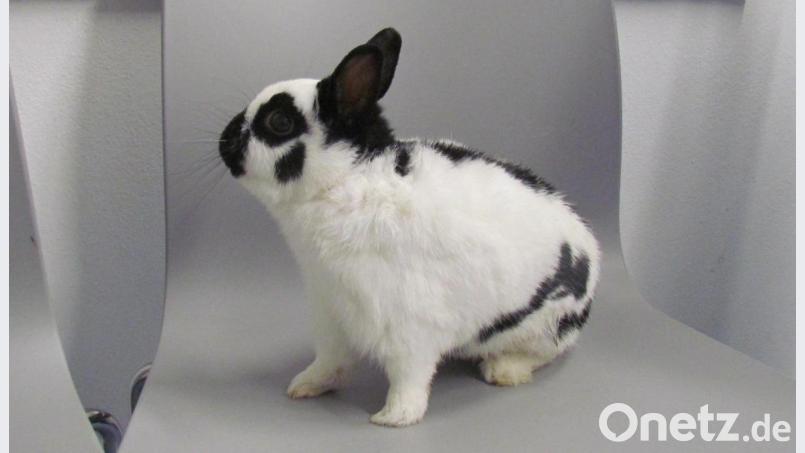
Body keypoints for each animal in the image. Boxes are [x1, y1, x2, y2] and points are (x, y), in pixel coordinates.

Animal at [218, 28, 600, 427]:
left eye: (279, 122)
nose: (224, 141)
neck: (347, 179)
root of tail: (590, 247)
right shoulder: (331, 310)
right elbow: (330, 360)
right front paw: (304, 386)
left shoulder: (408, 324)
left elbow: (409, 375)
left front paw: (394, 417)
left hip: (543, 326)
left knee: (544, 352)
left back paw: (504, 371)